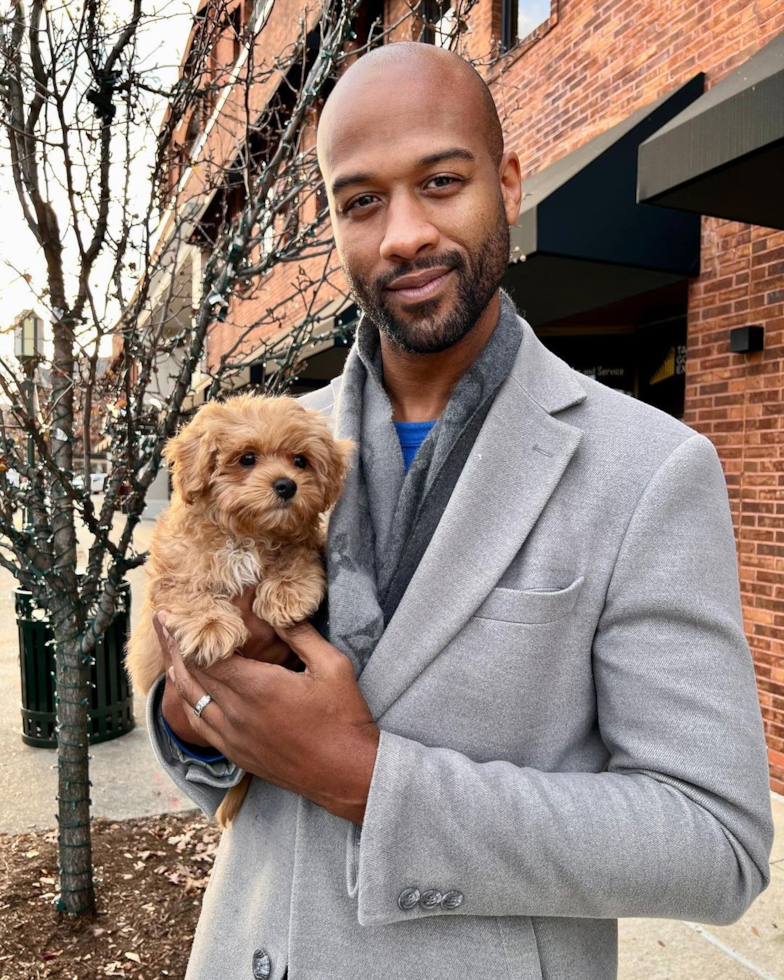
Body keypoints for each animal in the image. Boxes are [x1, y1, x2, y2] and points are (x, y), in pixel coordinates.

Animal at [125, 390, 352, 828]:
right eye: (246, 458)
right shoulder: (176, 566)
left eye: (300, 460)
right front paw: (211, 626)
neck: (248, 535)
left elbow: (297, 554)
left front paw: (287, 591)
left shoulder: (300, 542)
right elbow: (189, 589)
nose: (286, 485)